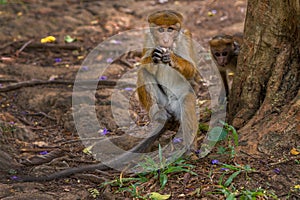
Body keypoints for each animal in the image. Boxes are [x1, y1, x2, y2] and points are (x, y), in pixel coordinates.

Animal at [17, 9, 198, 183]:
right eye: (161, 30)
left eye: (170, 29)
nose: (165, 40)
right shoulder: (148, 37)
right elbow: (145, 64)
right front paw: (154, 56)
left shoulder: (186, 36)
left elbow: (192, 70)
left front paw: (170, 57)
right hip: (162, 102)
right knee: (143, 72)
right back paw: (158, 114)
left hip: (176, 103)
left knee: (187, 99)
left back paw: (187, 148)